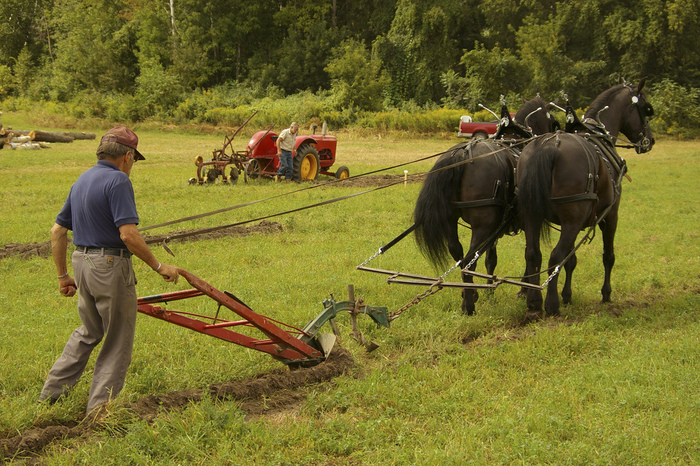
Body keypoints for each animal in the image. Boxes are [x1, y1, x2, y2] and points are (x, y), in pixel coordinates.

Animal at [416, 96, 556, 314]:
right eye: (551, 117)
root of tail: (464, 153)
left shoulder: (497, 228)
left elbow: (491, 258)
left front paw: (489, 289)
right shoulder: (527, 221)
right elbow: (531, 252)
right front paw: (524, 289)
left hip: (452, 221)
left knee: (458, 253)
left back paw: (469, 292)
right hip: (483, 225)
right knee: (468, 260)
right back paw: (468, 305)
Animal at [516, 79, 652, 316]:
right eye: (646, 109)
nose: (650, 140)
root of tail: (550, 146)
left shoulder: (572, 222)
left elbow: (571, 260)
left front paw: (567, 295)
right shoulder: (610, 215)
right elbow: (608, 256)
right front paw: (606, 294)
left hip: (533, 215)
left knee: (534, 254)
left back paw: (534, 301)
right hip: (572, 219)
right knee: (554, 257)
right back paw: (551, 305)